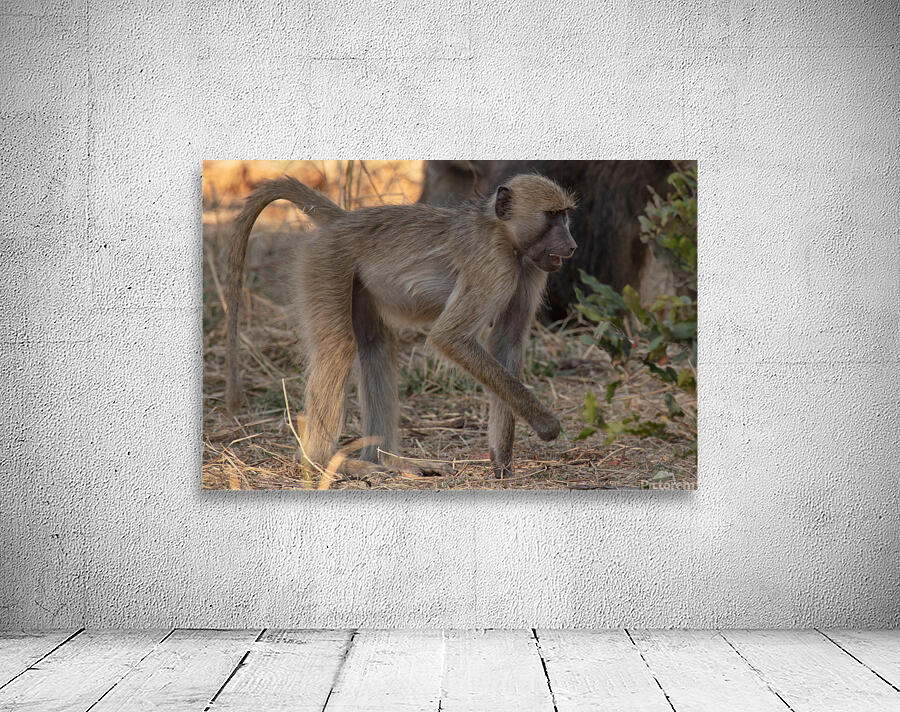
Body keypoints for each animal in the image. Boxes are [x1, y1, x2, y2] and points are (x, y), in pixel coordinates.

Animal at [226, 172, 578, 478]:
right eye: (551, 215)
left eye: (564, 216)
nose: (572, 245)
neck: (504, 234)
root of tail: (343, 220)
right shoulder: (494, 265)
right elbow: (449, 338)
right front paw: (547, 425)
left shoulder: (531, 268)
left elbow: (507, 342)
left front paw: (502, 461)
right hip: (325, 264)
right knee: (338, 349)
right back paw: (323, 462)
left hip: (355, 282)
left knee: (376, 346)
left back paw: (386, 459)